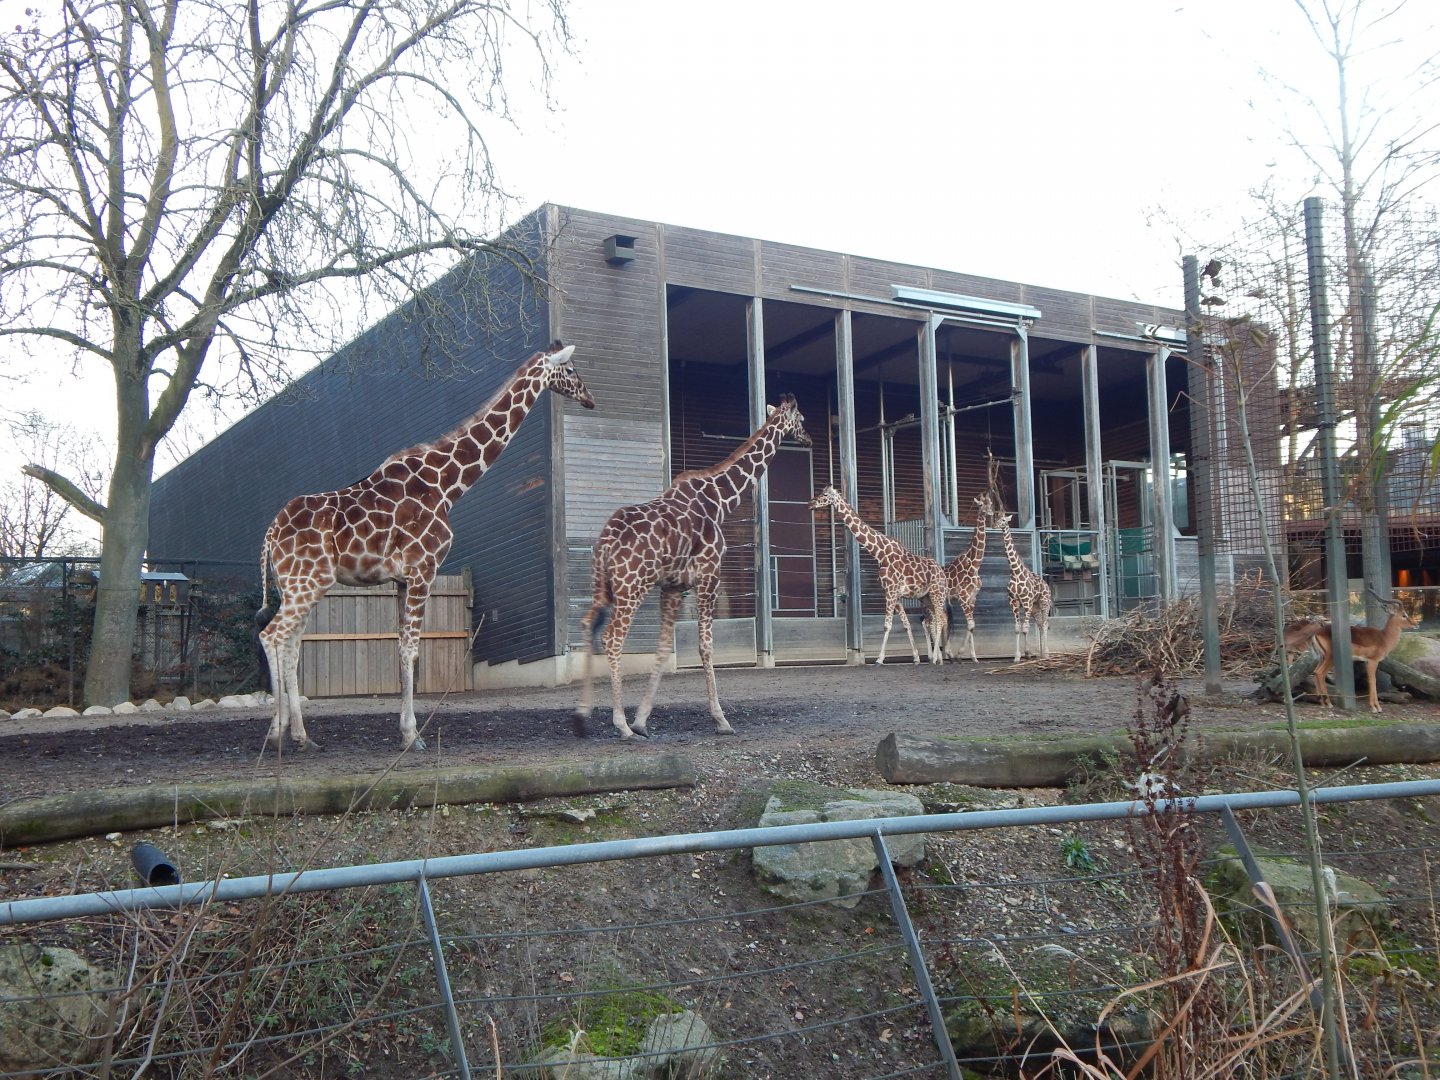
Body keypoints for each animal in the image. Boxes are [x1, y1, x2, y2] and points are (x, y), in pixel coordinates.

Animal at [259, 342, 595, 751]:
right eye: (572, 370)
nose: (590, 398)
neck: (448, 484)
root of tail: (271, 533)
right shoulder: (424, 569)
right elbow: (411, 649)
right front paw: (412, 735)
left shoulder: (403, 580)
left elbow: (403, 648)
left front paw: (405, 731)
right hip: (307, 582)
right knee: (272, 636)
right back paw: (275, 734)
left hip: (296, 586)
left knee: (290, 646)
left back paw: (301, 736)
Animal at [572, 395, 813, 740]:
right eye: (801, 418)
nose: (809, 439)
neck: (721, 500)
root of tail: (606, 542)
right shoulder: (709, 575)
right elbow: (705, 646)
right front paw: (721, 719)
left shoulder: (674, 586)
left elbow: (663, 649)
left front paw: (642, 720)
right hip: (632, 586)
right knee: (613, 638)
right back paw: (620, 725)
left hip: (602, 585)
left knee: (587, 624)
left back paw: (582, 717)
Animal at [807, 486, 948, 666]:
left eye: (825, 494)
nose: (810, 504)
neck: (880, 554)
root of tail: (942, 572)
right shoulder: (895, 595)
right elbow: (906, 624)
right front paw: (916, 657)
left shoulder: (890, 592)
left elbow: (887, 625)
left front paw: (879, 659)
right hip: (926, 597)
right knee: (937, 619)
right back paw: (938, 658)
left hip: (937, 594)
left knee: (939, 620)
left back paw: (936, 658)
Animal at [941, 491, 994, 662]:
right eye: (981, 504)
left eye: (991, 503)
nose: (990, 513)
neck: (975, 564)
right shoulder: (963, 596)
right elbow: (971, 624)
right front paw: (959, 653)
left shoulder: (972, 597)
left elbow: (970, 626)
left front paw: (973, 657)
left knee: (943, 619)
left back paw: (947, 653)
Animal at [996, 511, 1051, 661]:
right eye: (996, 518)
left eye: (1004, 520)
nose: (995, 525)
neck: (1015, 572)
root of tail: (1047, 585)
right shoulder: (1013, 602)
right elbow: (1017, 628)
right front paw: (1017, 656)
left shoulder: (1026, 602)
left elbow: (1025, 628)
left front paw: (1026, 653)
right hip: (1035, 608)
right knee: (1040, 624)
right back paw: (1042, 654)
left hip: (1044, 603)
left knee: (1045, 624)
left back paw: (1046, 654)